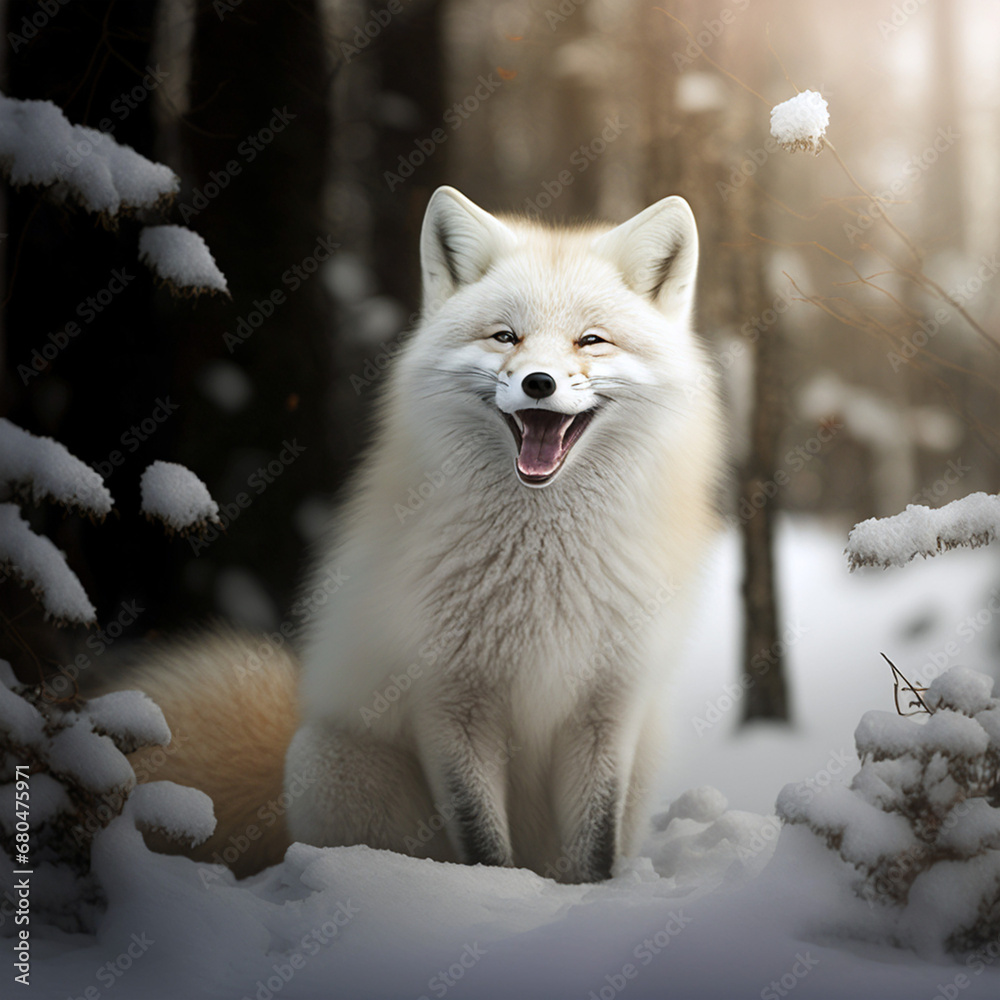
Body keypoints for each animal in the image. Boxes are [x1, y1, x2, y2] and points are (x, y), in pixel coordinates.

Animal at [111, 186, 724, 883]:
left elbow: (595, 848)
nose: (538, 382)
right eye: (505, 336)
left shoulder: (609, 705)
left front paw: (586, 898)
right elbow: (483, 843)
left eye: (591, 340)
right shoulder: (448, 702)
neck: (542, 581)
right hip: (327, 758)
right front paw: (495, 892)